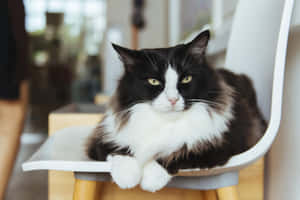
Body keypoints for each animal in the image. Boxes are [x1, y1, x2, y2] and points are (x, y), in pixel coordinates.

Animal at [85, 30, 266, 192]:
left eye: (186, 79)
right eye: (153, 81)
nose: (173, 99)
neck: (166, 124)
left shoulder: (220, 145)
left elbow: (175, 154)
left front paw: (150, 179)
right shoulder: (101, 139)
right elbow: (120, 151)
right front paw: (127, 178)